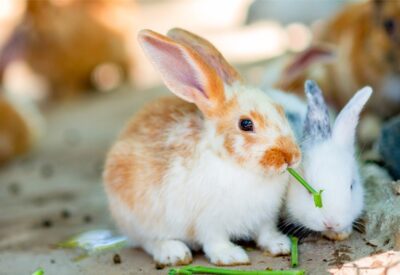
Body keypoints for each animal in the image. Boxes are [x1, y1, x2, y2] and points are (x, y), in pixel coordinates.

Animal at [103, 28, 300, 268]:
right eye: (246, 124)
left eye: (280, 109)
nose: (292, 157)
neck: (235, 165)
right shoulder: (208, 222)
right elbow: (215, 240)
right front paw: (231, 257)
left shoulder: (265, 218)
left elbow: (266, 232)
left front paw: (280, 245)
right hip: (140, 219)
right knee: (149, 241)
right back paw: (174, 253)